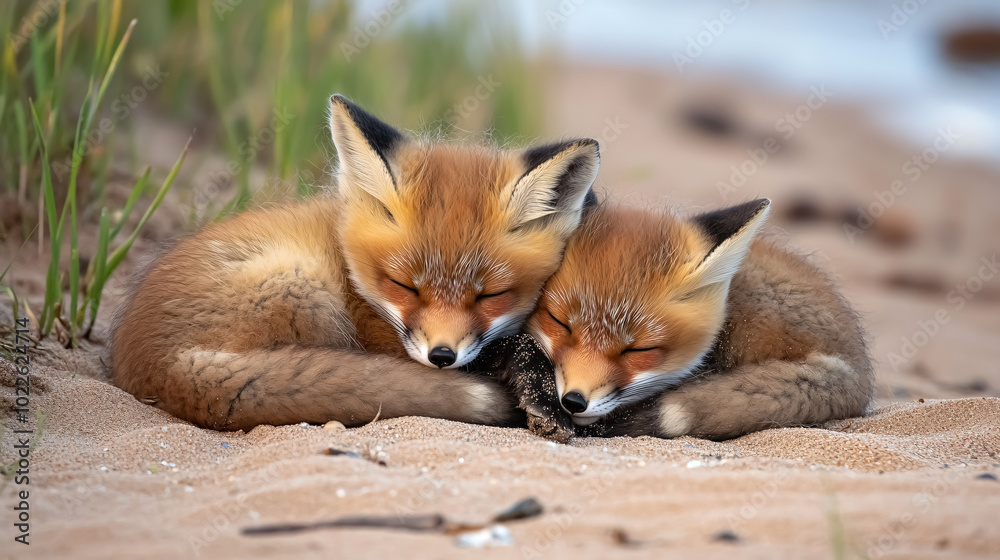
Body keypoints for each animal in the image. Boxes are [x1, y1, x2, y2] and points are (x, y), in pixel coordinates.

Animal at [109, 95, 601, 431]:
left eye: (491, 295)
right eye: (404, 285)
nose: (442, 357)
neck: (354, 274)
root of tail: (151, 365)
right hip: (303, 286)